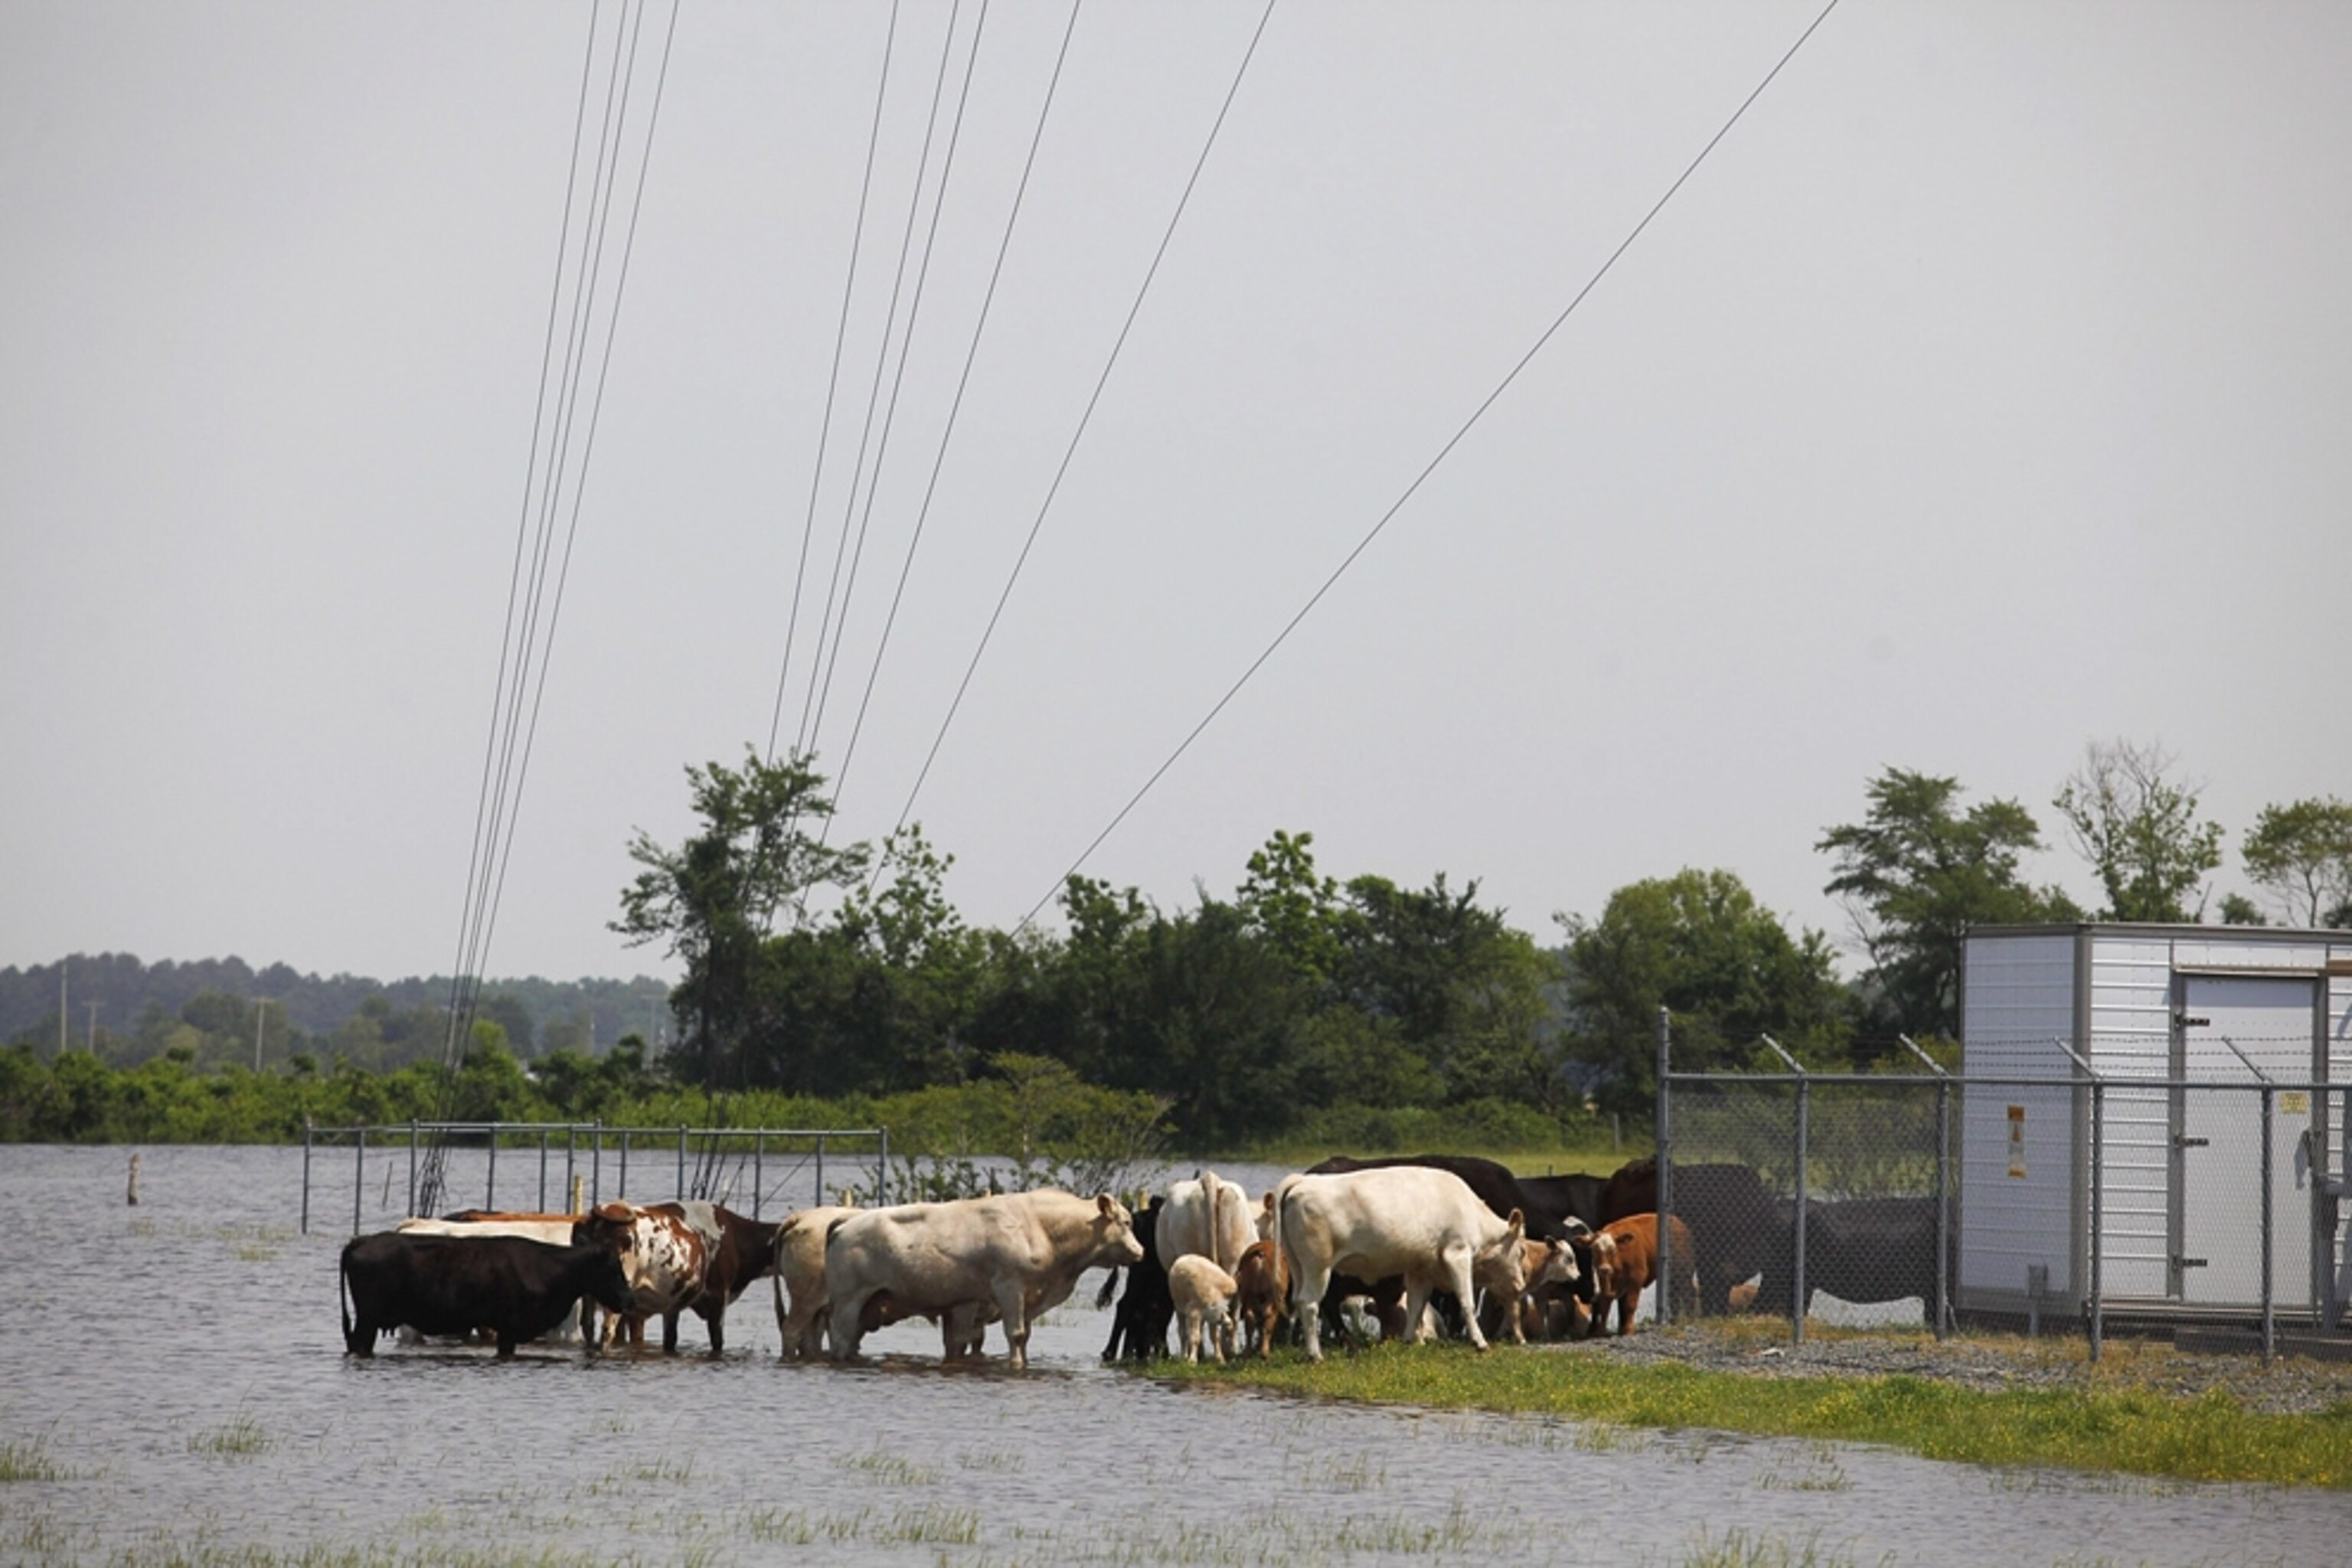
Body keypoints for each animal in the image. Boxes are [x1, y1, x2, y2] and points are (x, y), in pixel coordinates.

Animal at [825, 1190, 1146, 1370]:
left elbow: (1025, 1335)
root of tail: (846, 1223)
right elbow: (1016, 1334)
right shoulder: (1009, 1287)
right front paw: (1016, 1366)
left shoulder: (1027, 1296)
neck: (1040, 1228)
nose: (1140, 1251)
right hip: (848, 1301)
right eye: (1126, 1222)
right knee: (840, 1339)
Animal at [1168, 1254, 1239, 1363]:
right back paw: (1184, 1356)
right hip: (1179, 1308)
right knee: (1183, 1332)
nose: (1234, 1355)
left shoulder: (1212, 1317)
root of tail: (1184, 1256)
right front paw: (1192, 1360)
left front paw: (1220, 1359)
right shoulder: (1194, 1313)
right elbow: (1195, 1337)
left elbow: (1215, 1337)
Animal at [1275, 1166, 1529, 1362]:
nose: (1520, 1285)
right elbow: (1466, 1302)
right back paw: (1315, 1355)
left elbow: (1416, 1305)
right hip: (1318, 1266)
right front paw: (1480, 1342)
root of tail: (1303, 1181)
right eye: (1521, 1251)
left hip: (1298, 1267)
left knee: (1298, 1301)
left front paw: (1411, 1341)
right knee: (1309, 1304)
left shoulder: (1420, 1267)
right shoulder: (1458, 1254)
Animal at [1588, 1212, 1698, 1336]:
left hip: (1682, 1270)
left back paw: (1688, 1317)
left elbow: (1629, 1305)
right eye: (1594, 1250)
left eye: (1612, 1249)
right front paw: (1601, 1331)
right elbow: (1605, 1304)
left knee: (1688, 1291)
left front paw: (1629, 1330)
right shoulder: (1605, 1280)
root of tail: (1682, 1226)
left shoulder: (1636, 1279)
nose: (1604, 1268)